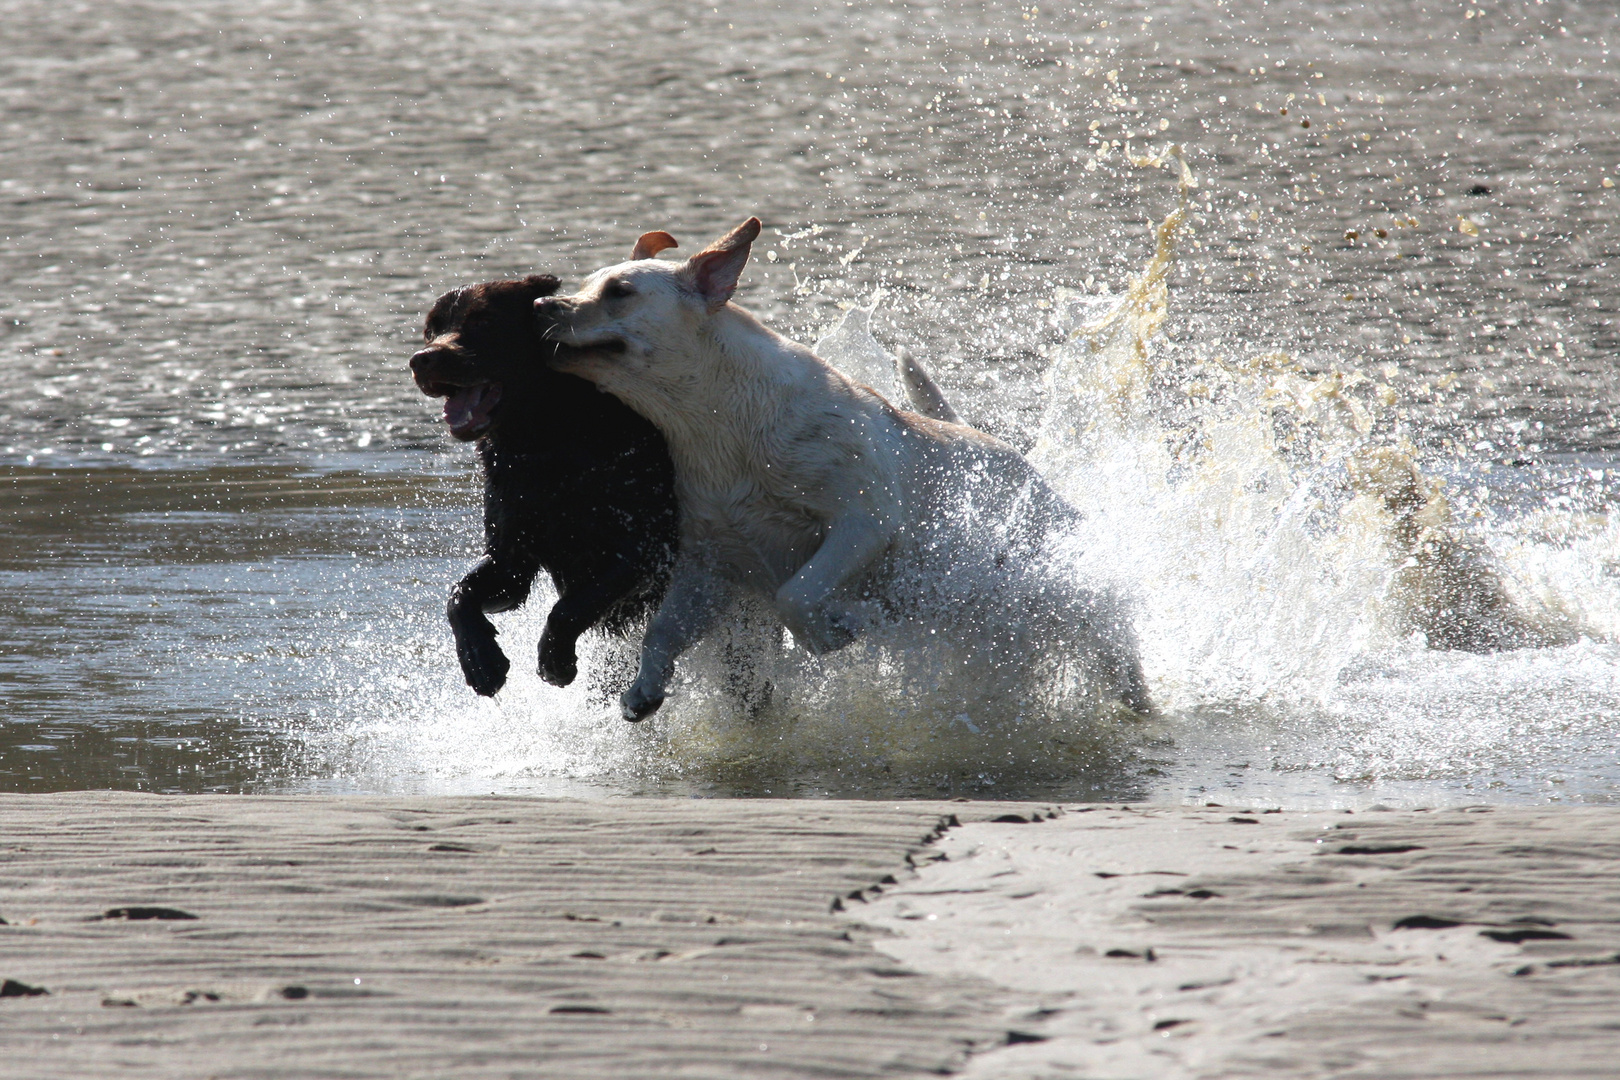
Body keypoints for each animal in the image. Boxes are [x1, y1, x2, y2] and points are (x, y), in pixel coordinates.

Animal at [411, 278, 683, 696]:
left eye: (483, 320)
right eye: (430, 330)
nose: (422, 359)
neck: (545, 441)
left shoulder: (645, 545)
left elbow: (572, 605)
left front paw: (555, 658)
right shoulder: (511, 560)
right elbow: (460, 595)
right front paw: (480, 659)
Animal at [537, 220, 1146, 722]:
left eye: (619, 292)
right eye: (585, 285)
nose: (544, 303)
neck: (718, 423)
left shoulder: (862, 522)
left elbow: (796, 594)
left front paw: (831, 631)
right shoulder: (709, 566)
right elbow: (662, 630)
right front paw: (643, 690)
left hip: (1058, 580)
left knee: (1112, 642)